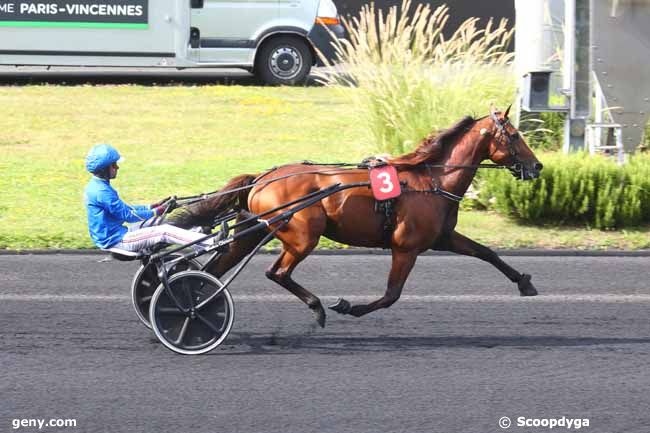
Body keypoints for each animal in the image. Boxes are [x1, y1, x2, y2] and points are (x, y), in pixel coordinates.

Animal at [166, 106, 540, 326]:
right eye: (515, 135)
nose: (537, 166)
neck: (431, 181)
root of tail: (261, 178)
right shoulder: (406, 247)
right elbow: (391, 295)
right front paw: (349, 307)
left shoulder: (443, 238)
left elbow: (487, 253)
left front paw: (525, 282)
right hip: (302, 235)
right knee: (277, 272)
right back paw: (316, 307)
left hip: (256, 230)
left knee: (216, 270)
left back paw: (193, 306)